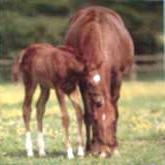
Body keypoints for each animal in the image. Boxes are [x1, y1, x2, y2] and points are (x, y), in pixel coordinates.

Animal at [64, 5, 134, 157]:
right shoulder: (82, 81)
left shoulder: (117, 76)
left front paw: (115, 147)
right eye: (97, 121)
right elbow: (88, 114)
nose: (106, 151)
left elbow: (116, 109)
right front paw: (91, 148)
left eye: (112, 121)